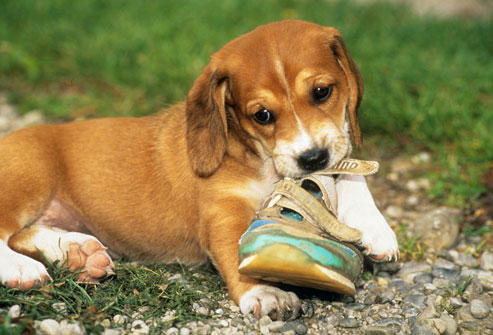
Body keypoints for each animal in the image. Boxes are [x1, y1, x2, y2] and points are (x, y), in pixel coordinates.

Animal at [0, 20, 398, 320]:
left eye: (321, 92)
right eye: (262, 115)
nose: (312, 158)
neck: (258, 160)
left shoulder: (332, 155)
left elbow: (349, 172)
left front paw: (376, 227)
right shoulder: (224, 214)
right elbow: (239, 255)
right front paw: (264, 292)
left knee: (23, 234)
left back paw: (78, 252)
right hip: (28, 178)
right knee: (4, 235)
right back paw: (22, 269)